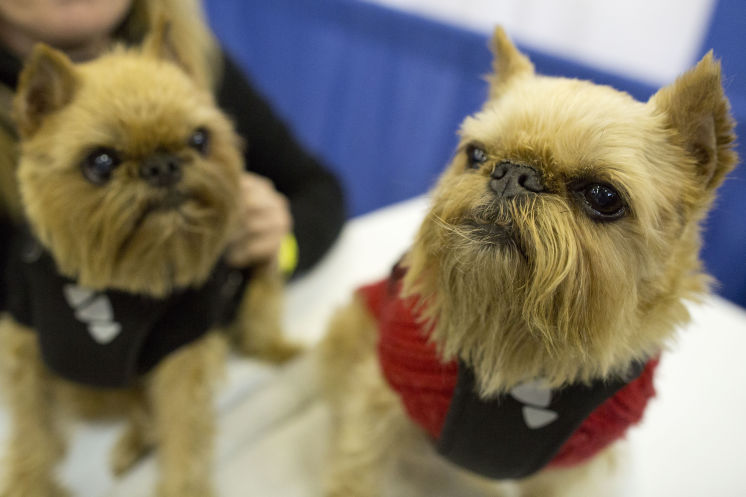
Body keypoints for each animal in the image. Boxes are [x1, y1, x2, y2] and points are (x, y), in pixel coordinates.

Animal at [0, 26, 290, 496]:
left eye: (199, 140)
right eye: (100, 162)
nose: (163, 165)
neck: (117, 287)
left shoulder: (183, 352)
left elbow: (185, 434)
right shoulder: (26, 348)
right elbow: (32, 429)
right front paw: (30, 483)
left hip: (258, 273)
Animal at [316, 28, 736, 496]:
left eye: (604, 196)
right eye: (476, 156)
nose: (513, 174)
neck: (524, 345)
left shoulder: (568, 472)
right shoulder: (379, 403)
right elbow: (357, 470)